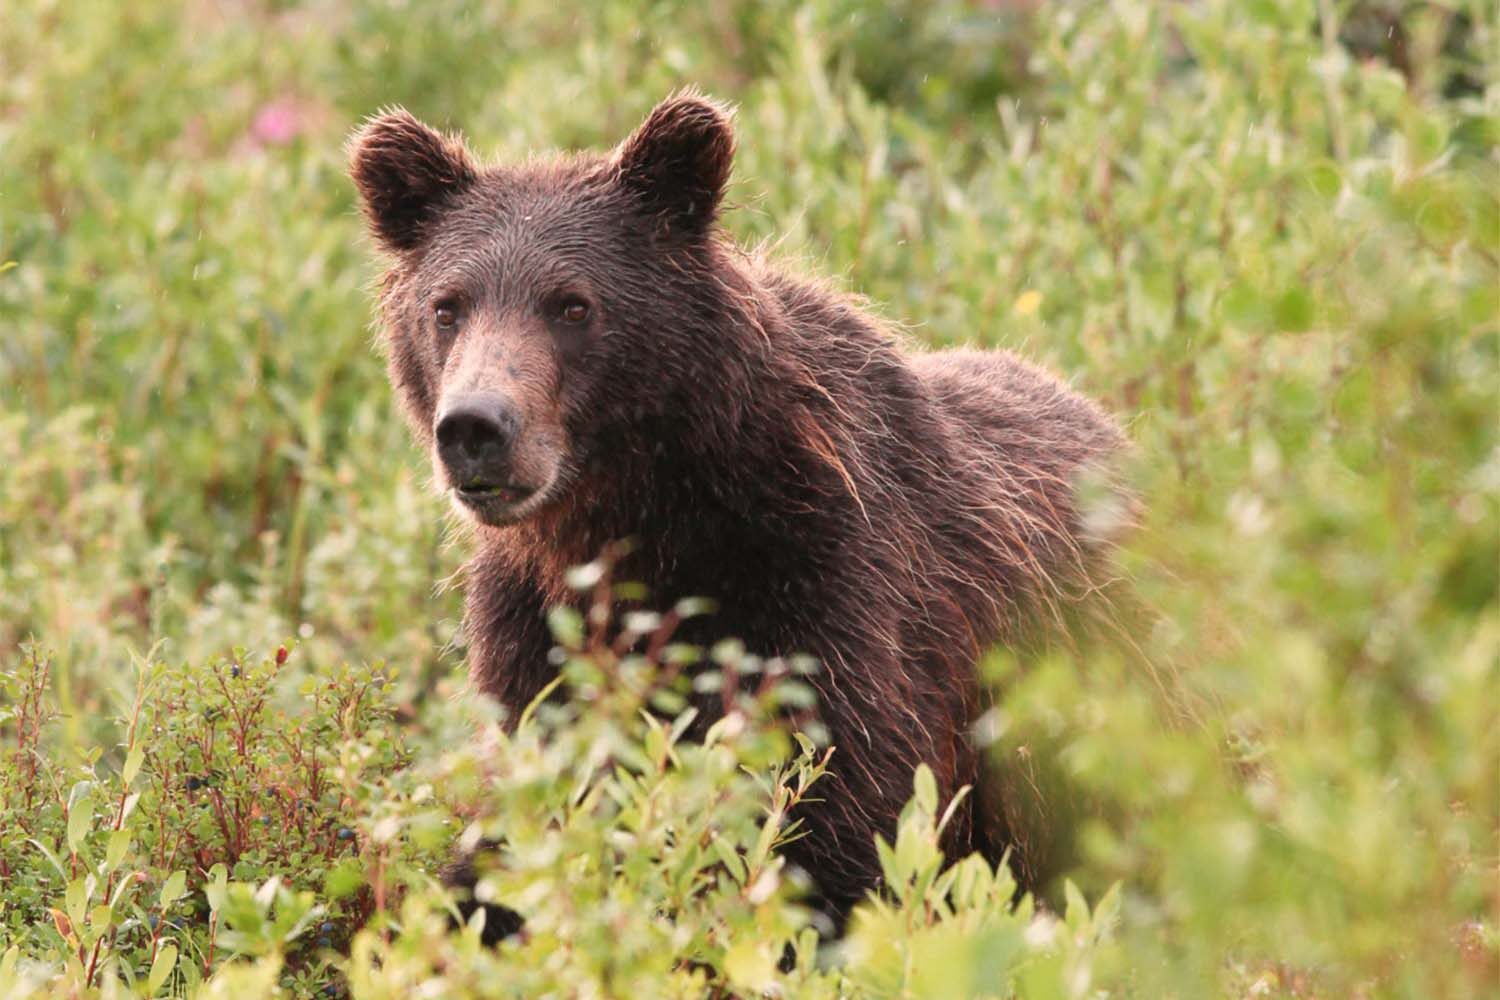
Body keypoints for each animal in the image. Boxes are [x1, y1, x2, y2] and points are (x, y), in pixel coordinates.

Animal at [348, 91, 1127, 936]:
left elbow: (838, 820)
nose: (475, 427)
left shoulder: (828, 588)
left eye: (573, 304)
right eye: (447, 306)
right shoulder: (532, 632)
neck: (637, 520)